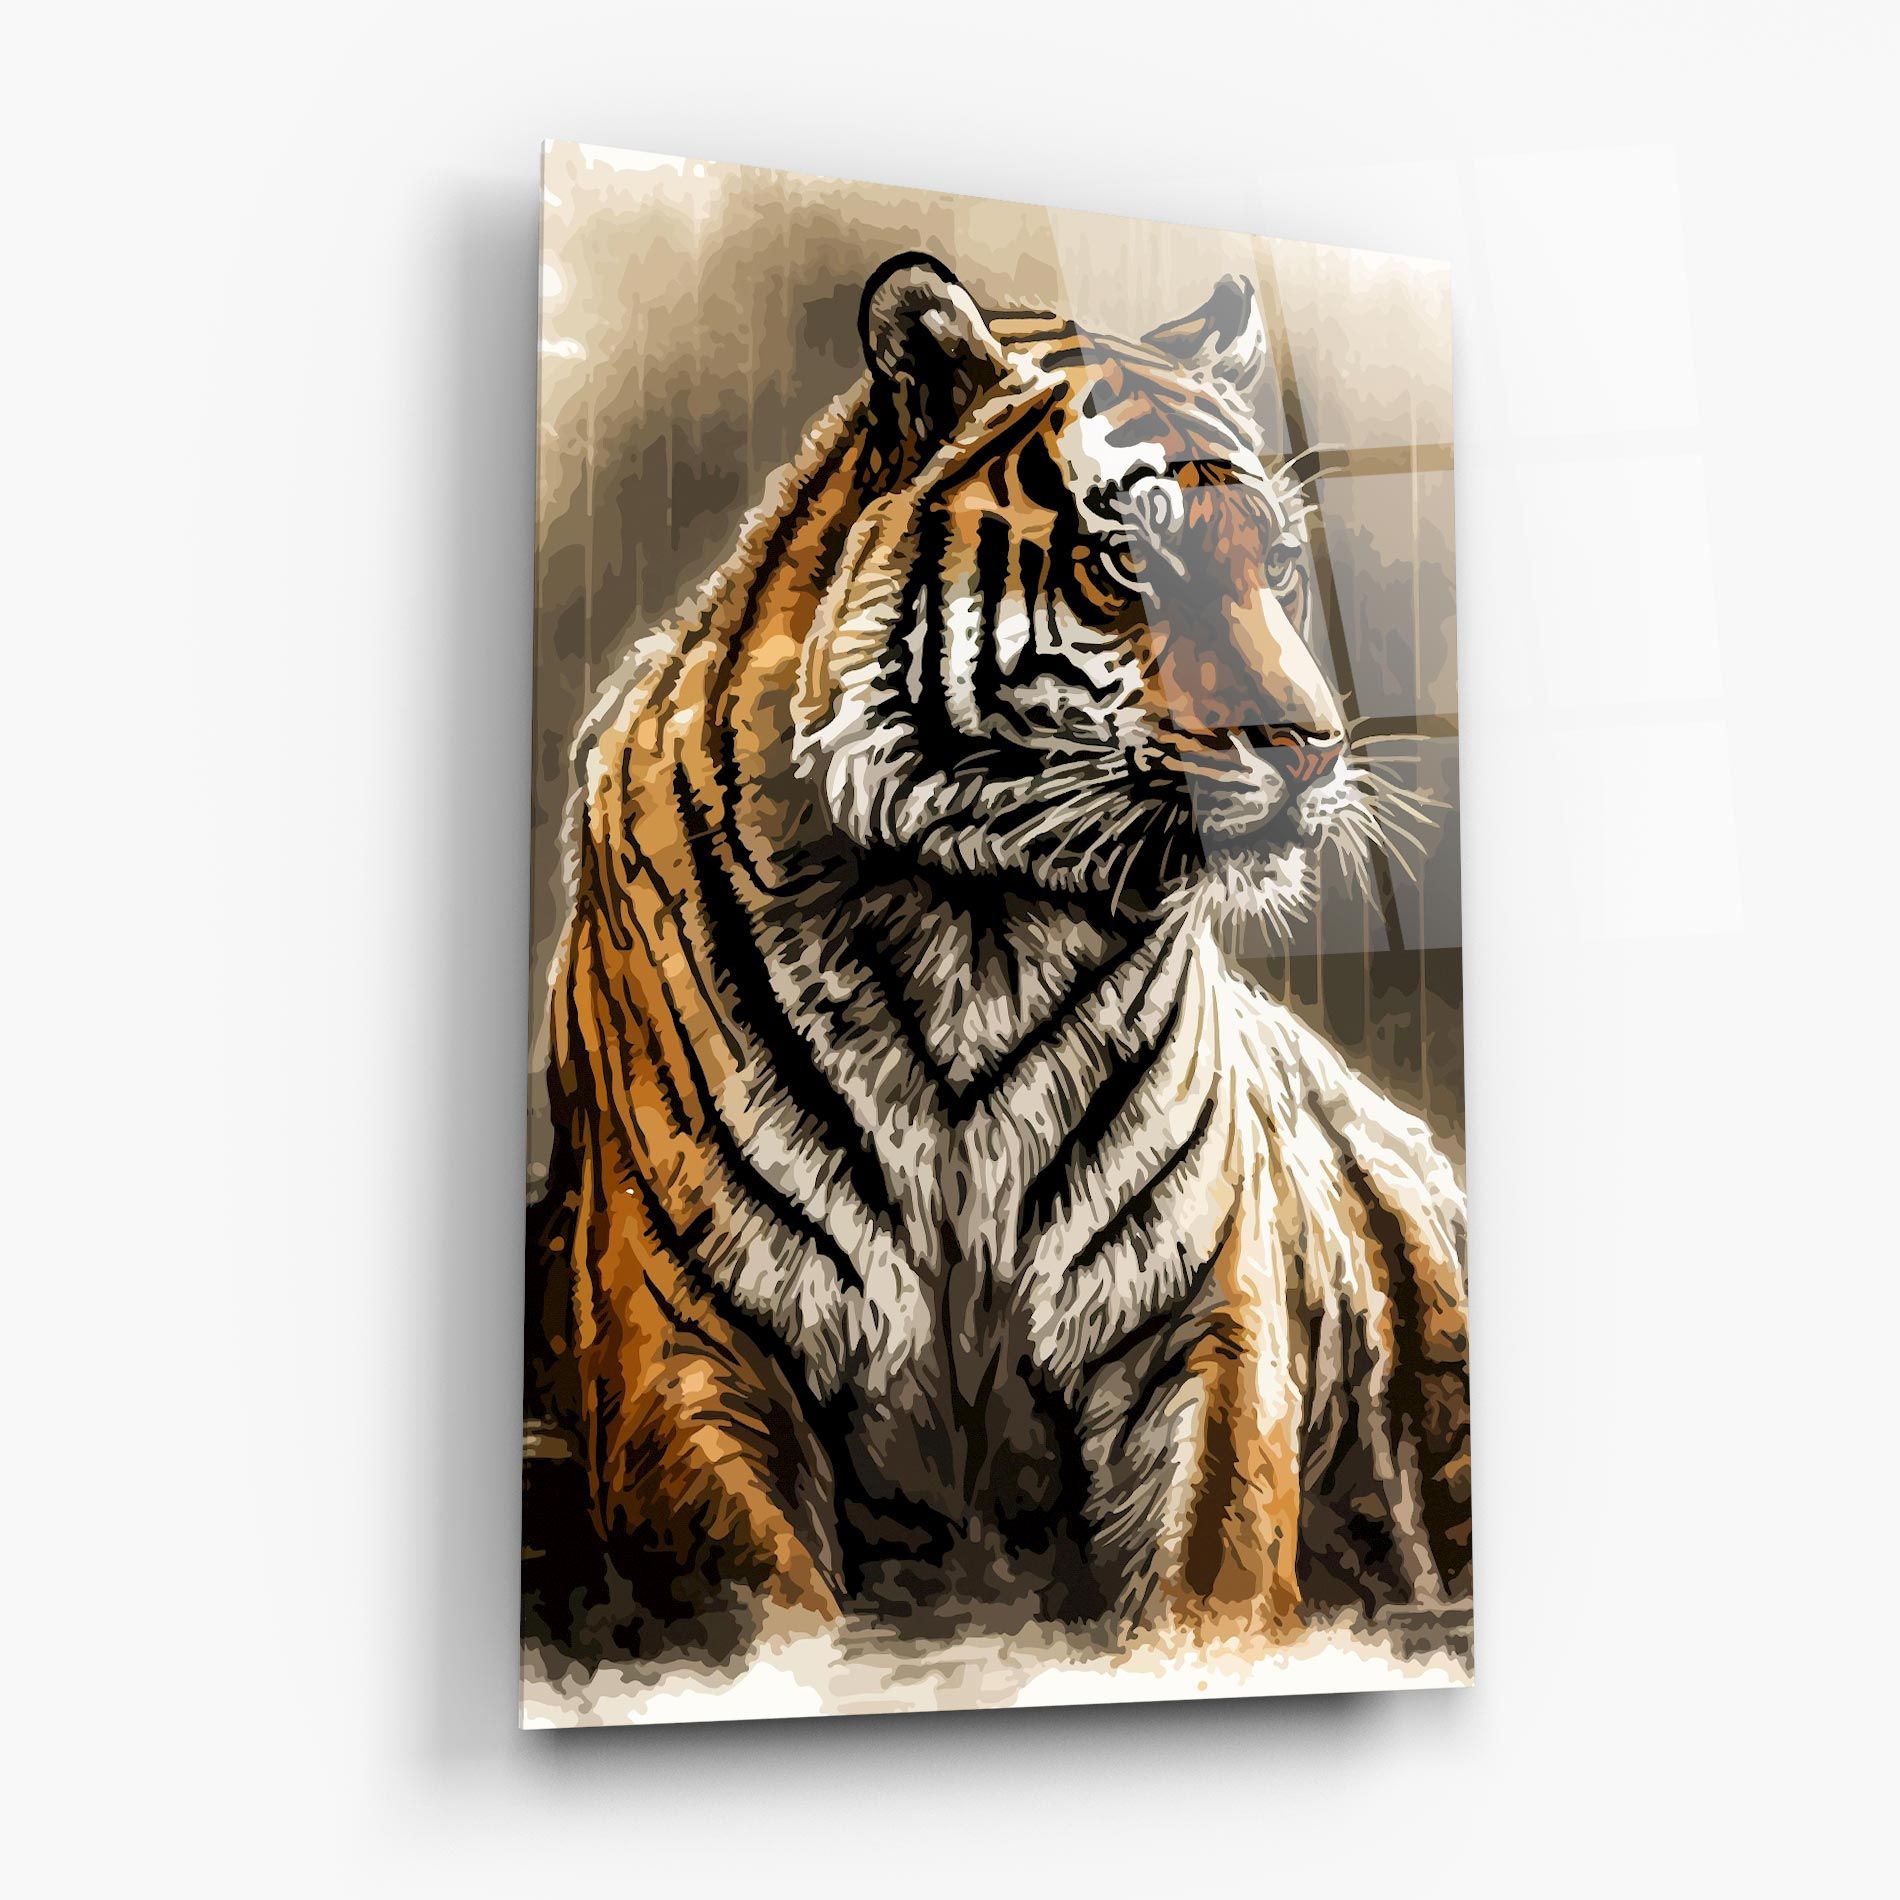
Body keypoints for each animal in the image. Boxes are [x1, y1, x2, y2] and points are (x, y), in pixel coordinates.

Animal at [523, 251, 1470, 1663]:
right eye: (1126, 558)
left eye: (1282, 567)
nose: (1308, 745)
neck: (973, 926)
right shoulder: (679, 1334)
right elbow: (772, 1617)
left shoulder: (1199, 1315)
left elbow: (1209, 1575)